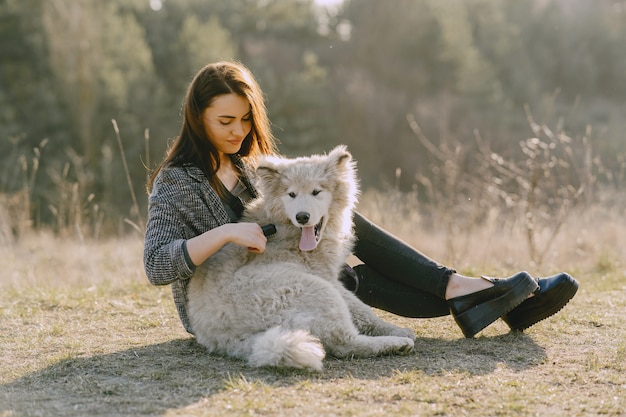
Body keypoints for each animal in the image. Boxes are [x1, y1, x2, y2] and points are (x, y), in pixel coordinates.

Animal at [188, 146, 416, 370]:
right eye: (291, 194)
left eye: (316, 192)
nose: (302, 217)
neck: (284, 228)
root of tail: (230, 337)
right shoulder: (328, 278)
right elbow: (362, 310)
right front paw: (396, 330)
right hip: (315, 289)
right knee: (344, 343)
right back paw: (396, 343)